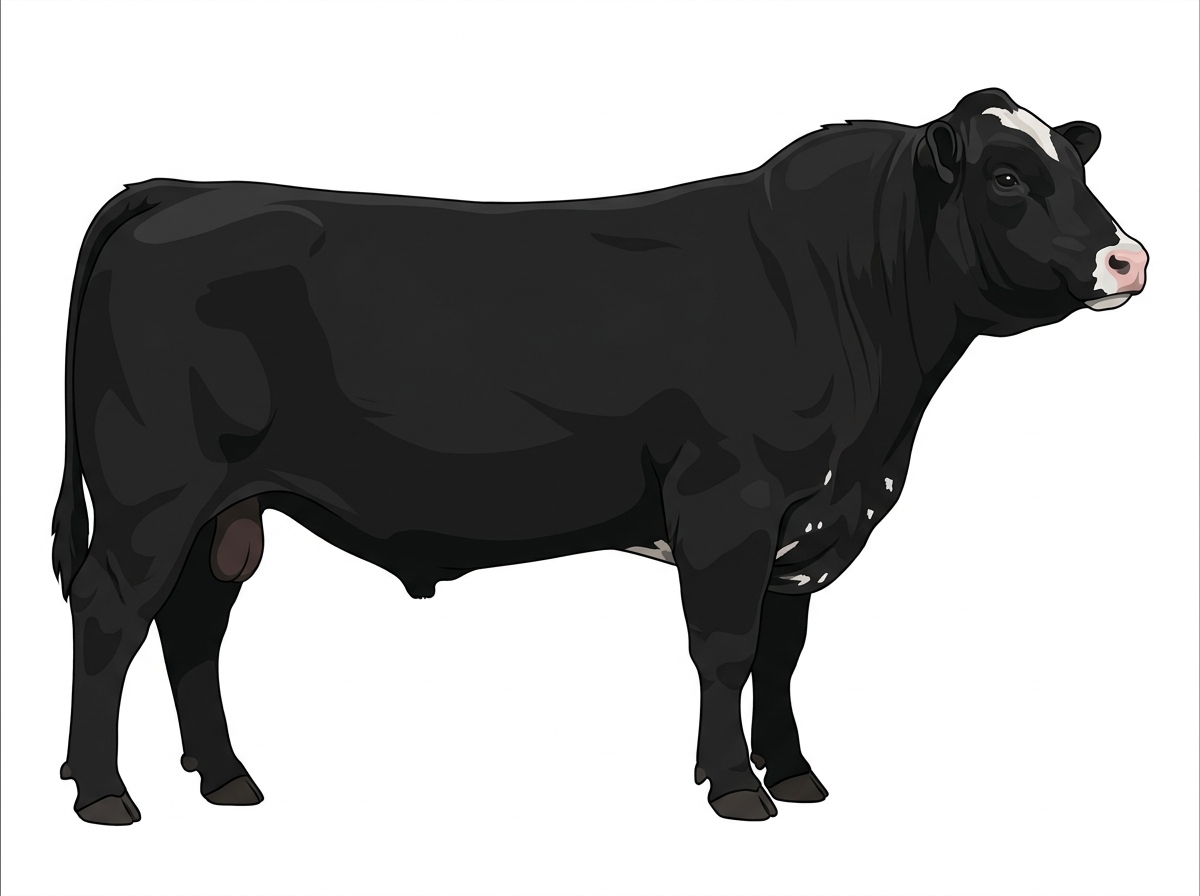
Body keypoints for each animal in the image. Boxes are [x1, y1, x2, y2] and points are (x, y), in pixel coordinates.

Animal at [52, 88, 1148, 824]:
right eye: (1006, 176)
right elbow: (726, 647)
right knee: (111, 612)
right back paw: (104, 793)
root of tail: (178, 190)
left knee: (193, 625)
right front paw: (736, 788)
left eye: (1080, 167)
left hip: (225, 508)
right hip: (152, 490)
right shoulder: (730, 497)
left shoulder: (804, 520)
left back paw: (228, 778)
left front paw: (795, 773)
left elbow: (783, 651)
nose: (1128, 256)